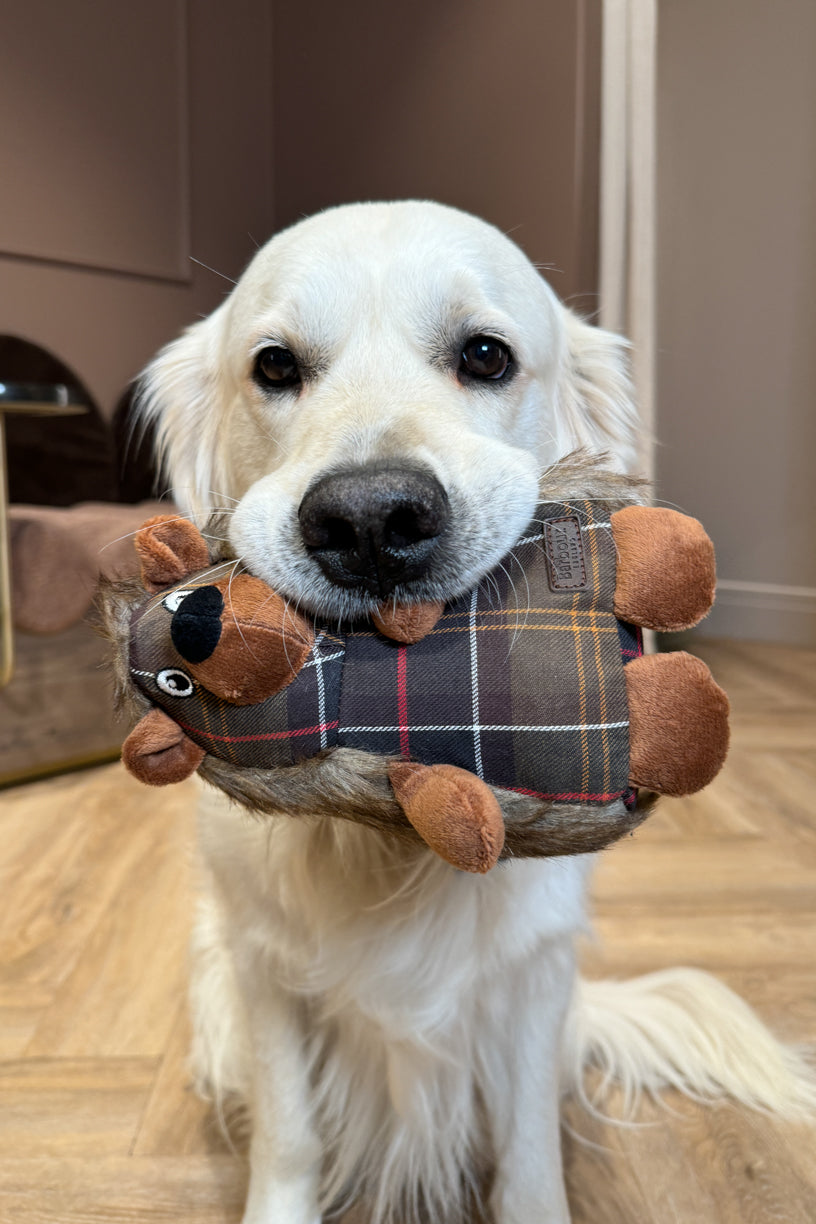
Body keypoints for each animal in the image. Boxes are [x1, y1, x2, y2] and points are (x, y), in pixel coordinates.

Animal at [137, 203, 812, 1224]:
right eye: (275, 367)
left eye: (486, 355)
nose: (370, 521)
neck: (394, 828)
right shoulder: (261, 970)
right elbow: (290, 1137)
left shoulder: (531, 983)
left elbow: (528, 1151)